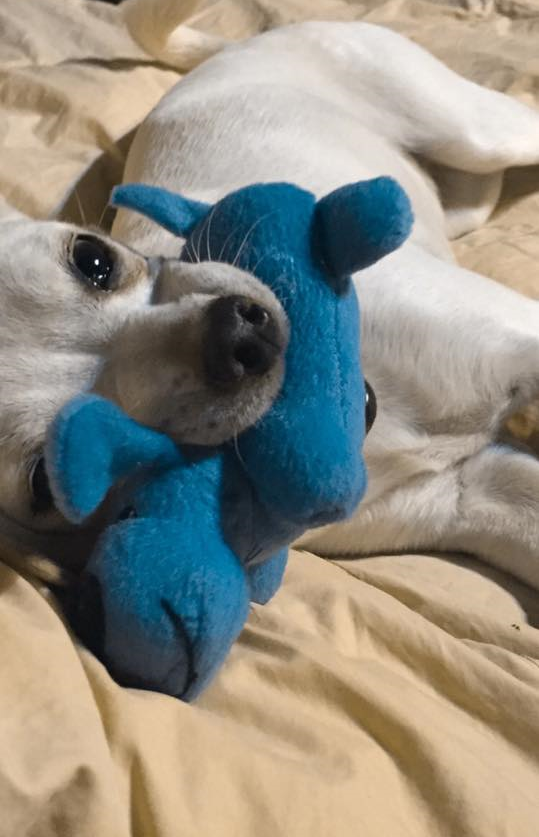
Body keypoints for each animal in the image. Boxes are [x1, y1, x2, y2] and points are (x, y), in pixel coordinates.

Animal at [1, 22, 538, 589]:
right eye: (45, 484)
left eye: (92, 258)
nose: (235, 336)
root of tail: (237, 44)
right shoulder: (469, 494)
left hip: (476, 132)